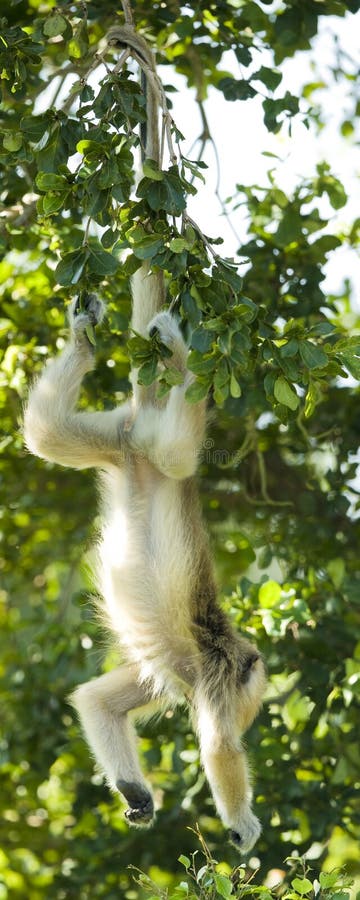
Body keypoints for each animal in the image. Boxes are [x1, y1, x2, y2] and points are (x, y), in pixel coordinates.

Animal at [21, 24, 264, 856]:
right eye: (255, 685)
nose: (259, 686)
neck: (220, 650)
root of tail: (139, 439)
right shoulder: (215, 677)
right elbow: (220, 746)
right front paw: (244, 824)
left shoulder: (182, 677)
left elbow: (95, 700)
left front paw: (135, 794)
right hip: (157, 447)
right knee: (182, 447)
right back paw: (178, 349)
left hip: (110, 440)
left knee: (45, 435)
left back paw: (86, 340)